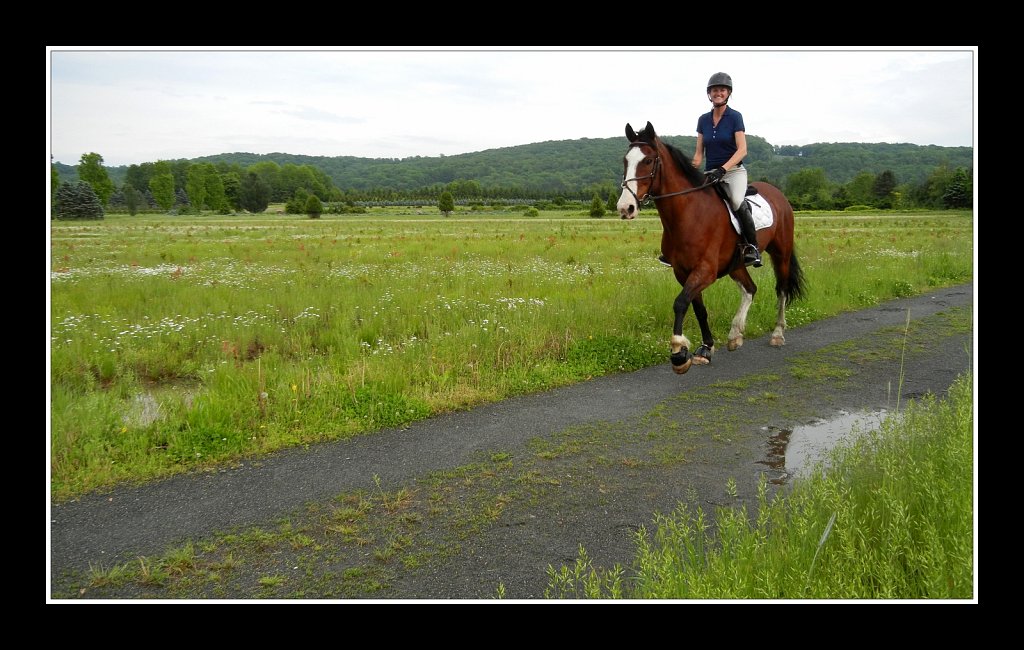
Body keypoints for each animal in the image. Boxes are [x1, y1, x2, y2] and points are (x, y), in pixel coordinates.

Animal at [614, 122, 806, 376]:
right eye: (626, 160)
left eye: (648, 160)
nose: (625, 207)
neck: (689, 214)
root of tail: (778, 194)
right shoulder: (683, 272)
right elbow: (698, 308)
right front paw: (706, 349)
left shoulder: (705, 270)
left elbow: (680, 303)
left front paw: (679, 353)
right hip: (736, 264)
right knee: (750, 289)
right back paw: (735, 335)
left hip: (780, 253)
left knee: (781, 289)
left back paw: (777, 334)